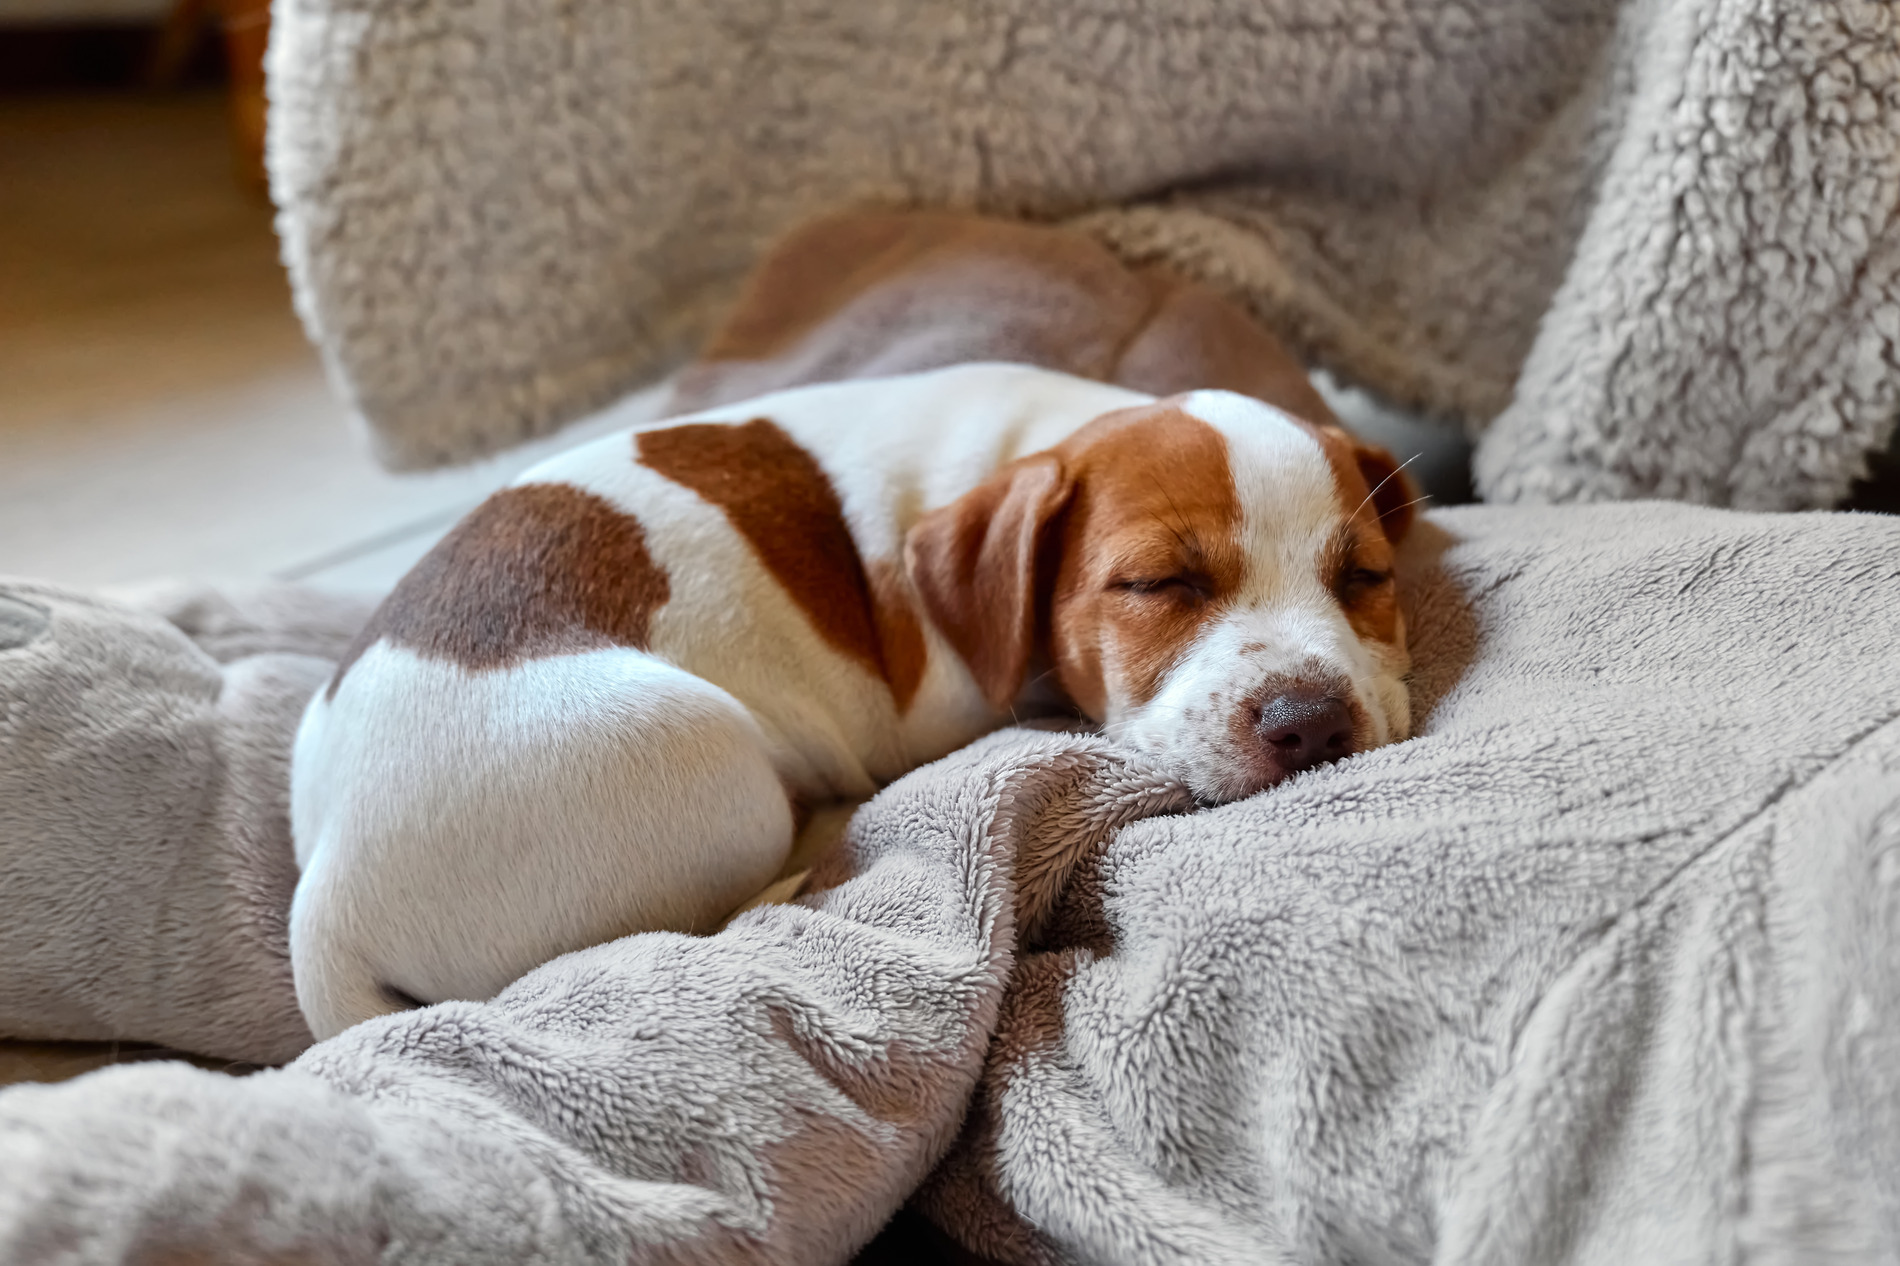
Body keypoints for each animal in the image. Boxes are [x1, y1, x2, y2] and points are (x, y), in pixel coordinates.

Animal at [288, 211, 1421, 1034]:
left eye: (1364, 576)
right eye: (1157, 585)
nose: (1312, 723)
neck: (1042, 438)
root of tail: (327, 893)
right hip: (704, 755)